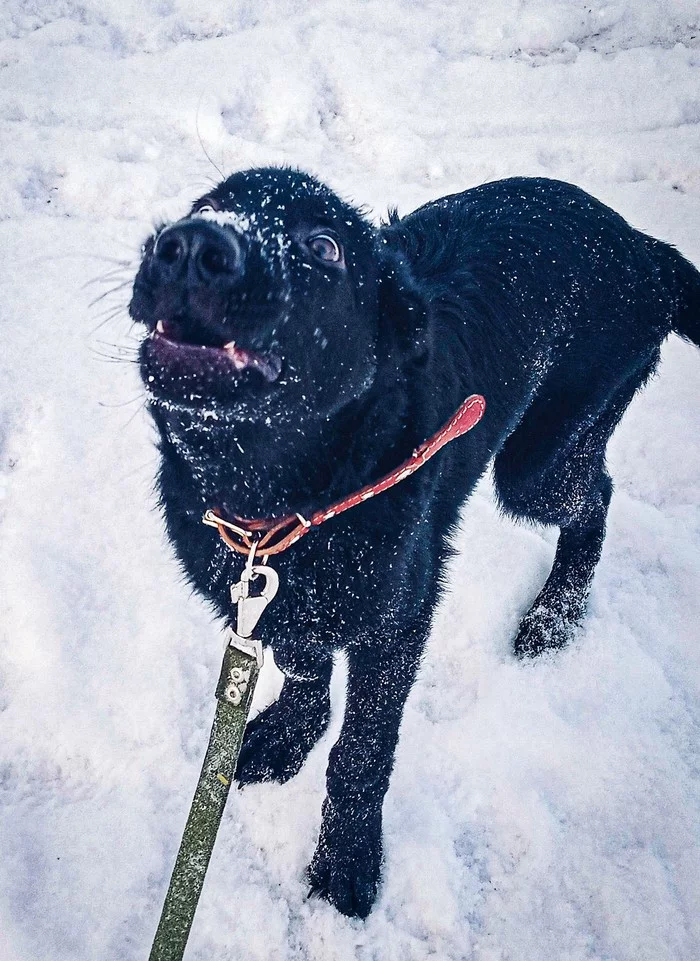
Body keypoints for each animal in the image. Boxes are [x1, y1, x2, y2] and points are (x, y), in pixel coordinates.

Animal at [129, 169, 696, 920]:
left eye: (325, 245)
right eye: (203, 206)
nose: (190, 246)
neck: (275, 494)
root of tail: (643, 248)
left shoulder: (400, 618)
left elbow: (363, 752)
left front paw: (347, 859)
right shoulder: (281, 596)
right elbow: (303, 663)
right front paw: (289, 735)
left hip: (538, 459)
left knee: (598, 496)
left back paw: (555, 615)